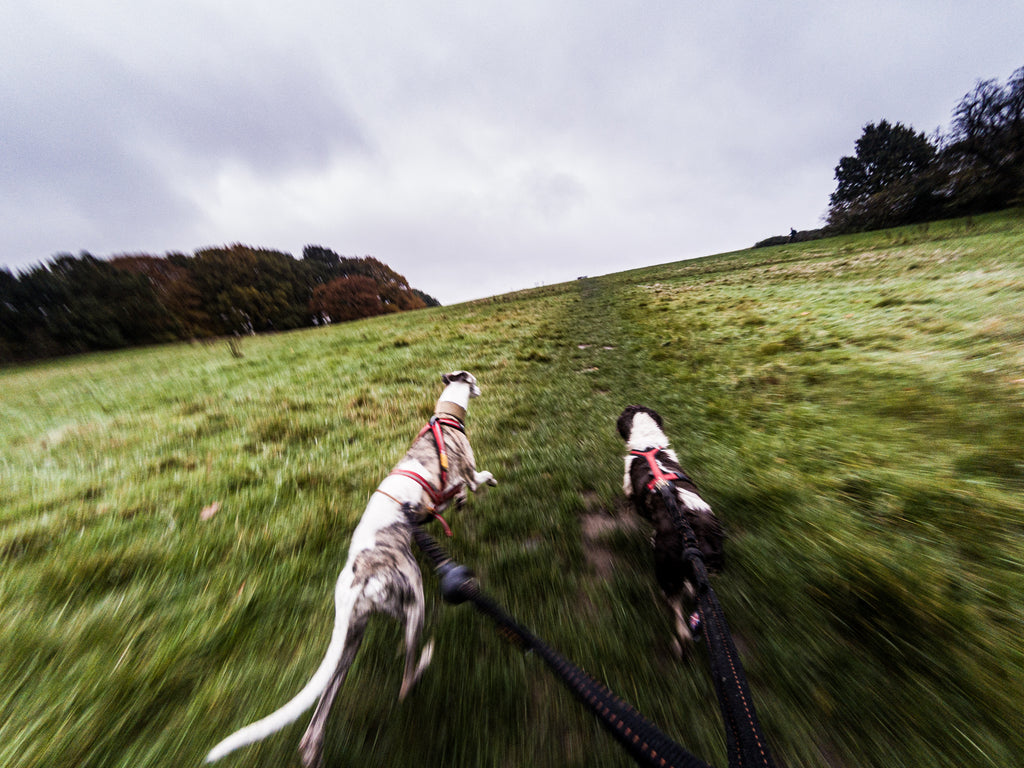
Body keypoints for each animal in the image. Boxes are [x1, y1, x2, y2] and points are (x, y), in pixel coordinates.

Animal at [205, 372, 493, 768]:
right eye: (474, 380)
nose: (482, 388)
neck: (445, 421)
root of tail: (359, 577)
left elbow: (457, 496)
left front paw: (461, 501)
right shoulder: (464, 469)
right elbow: (476, 479)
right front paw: (486, 481)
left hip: (349, 640)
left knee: (318, 716)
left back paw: (312, 748)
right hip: (413, 598)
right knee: (406, 679)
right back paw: (423, 661)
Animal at [614, 405, 720, 659]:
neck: (648, 448)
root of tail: (693, 536)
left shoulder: (628, 487)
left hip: (665, 572)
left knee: (676, 608)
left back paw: (681, 639)